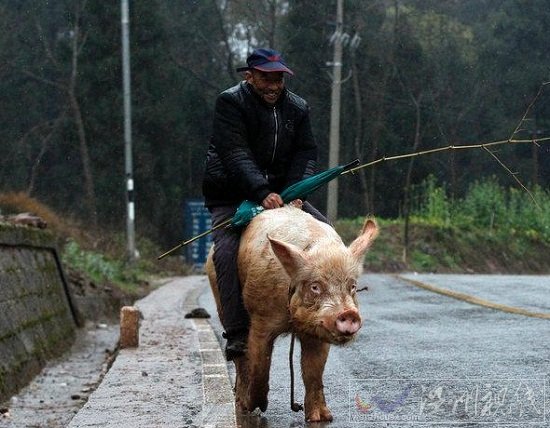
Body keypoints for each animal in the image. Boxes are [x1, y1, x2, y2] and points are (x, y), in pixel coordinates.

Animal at [207, 206, 380, 422]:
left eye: (353, 286)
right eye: (315, 286)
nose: (349, 314)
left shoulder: (319, 330)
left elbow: (313, 371)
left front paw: (322, 418)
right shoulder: (260, 317)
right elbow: (260, 364)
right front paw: (257, 406)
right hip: (220, 297)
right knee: (240, 355)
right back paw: (241, 404)